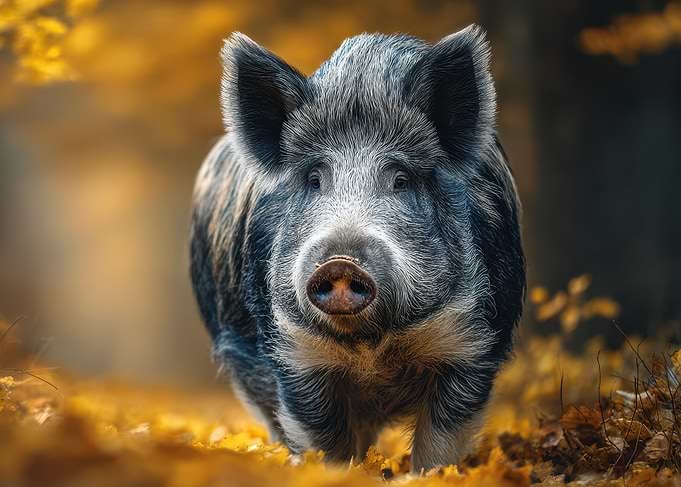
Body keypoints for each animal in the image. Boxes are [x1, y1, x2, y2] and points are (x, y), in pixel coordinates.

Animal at [190, 24, 525, 472]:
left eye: (401, 179)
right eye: (314, 178)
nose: (340, 262)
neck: (371, 347)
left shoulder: (474, 342)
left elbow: (441, 442)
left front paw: (429, 475)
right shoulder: (293, 350)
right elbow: (322, 440)